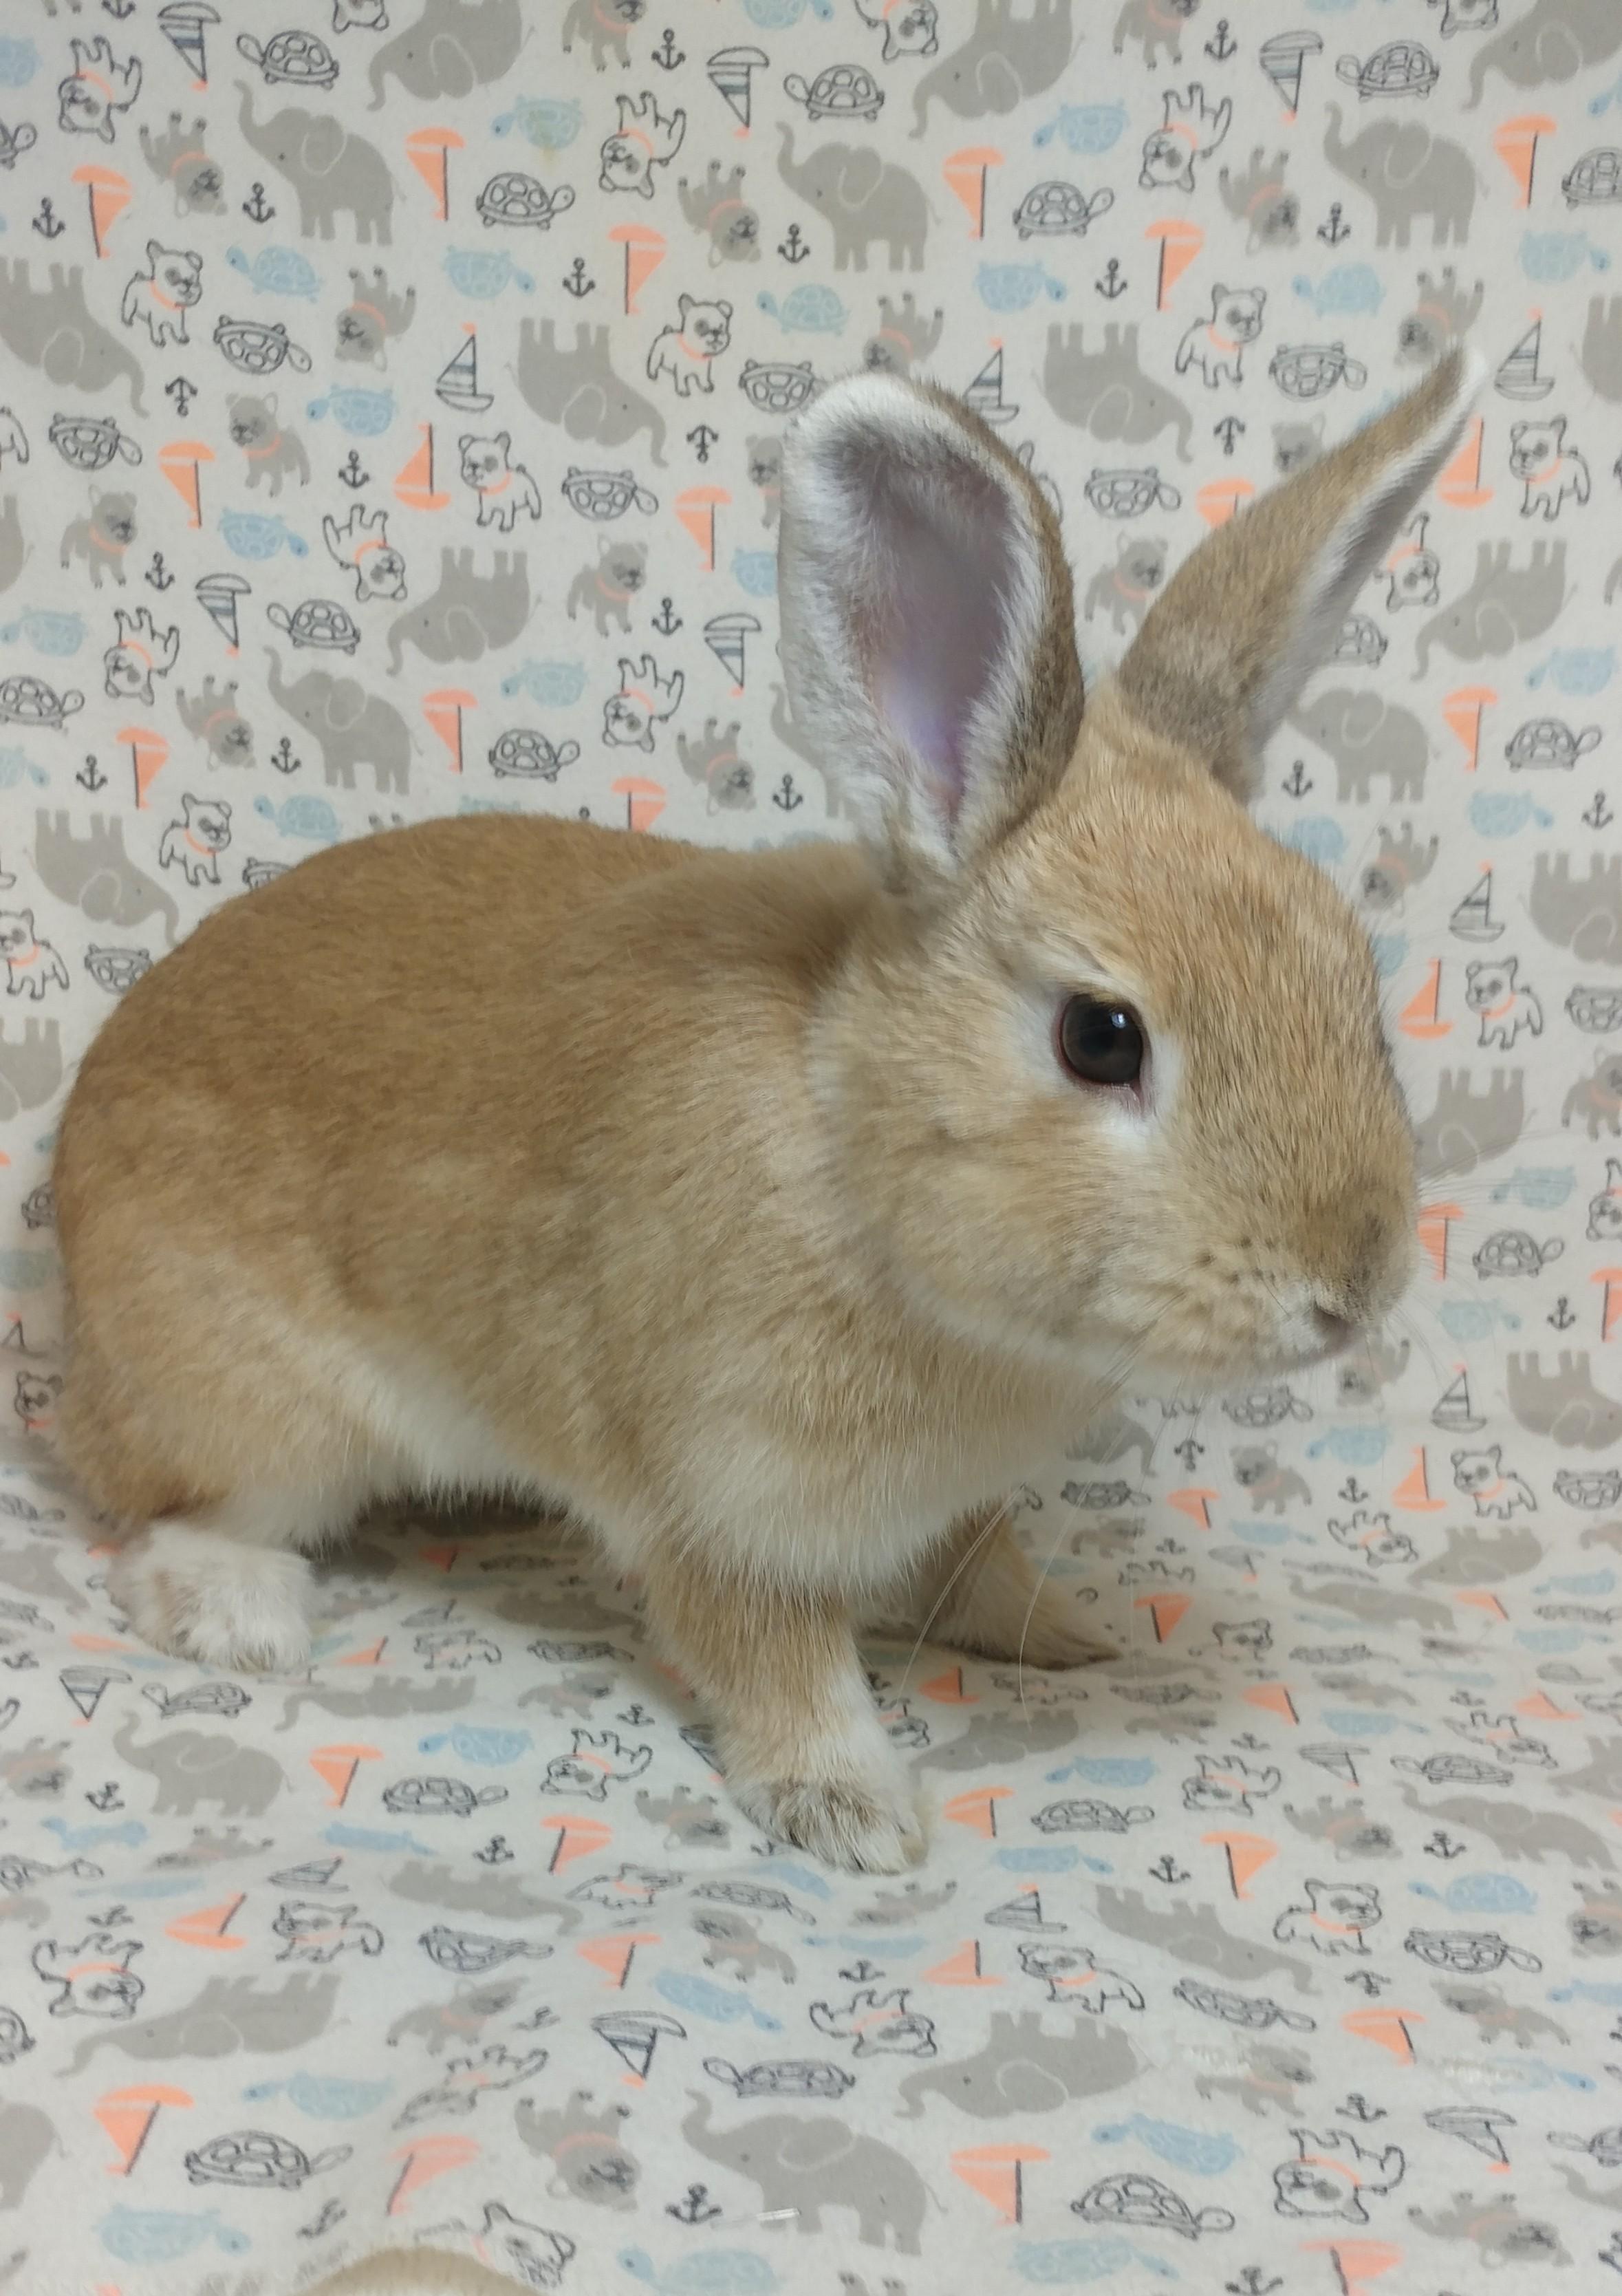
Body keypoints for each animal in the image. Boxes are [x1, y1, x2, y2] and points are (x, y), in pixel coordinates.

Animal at [51, 349, 1481, 1873]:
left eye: (1353, 974)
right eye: (1102, 1039)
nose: (1353, 1290)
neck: (849, 1143)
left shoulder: (934, 1504)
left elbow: (980, 1563)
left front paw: (1066, 1637)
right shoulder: (719, 1502)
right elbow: (773, 1657)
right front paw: (854, 1812)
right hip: (266, 1423)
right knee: (155, 1522)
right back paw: (245, 1614)